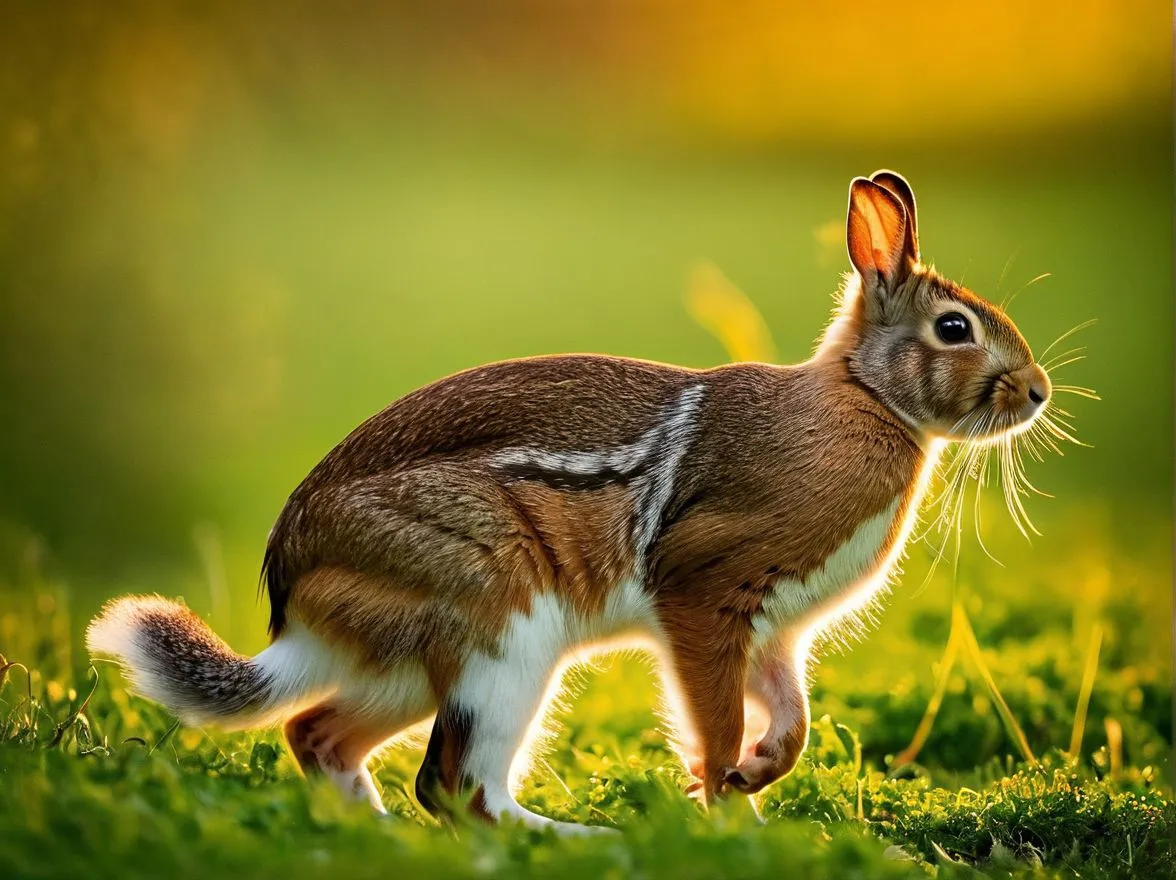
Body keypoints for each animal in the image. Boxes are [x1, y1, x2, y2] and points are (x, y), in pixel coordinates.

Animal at [87, 170, 1053, 832]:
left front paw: (753, 783)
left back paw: (379, 835)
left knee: (322, 737)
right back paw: (585, 837)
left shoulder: (773, 632)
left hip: (412, 667)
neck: (865, 395)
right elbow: (715, 722)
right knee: (456, 788)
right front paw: (729, 813)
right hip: (502, 625)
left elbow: (793, 724)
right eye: (954, 330)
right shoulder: (705, 591)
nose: (1039, 392)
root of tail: (293, 590)